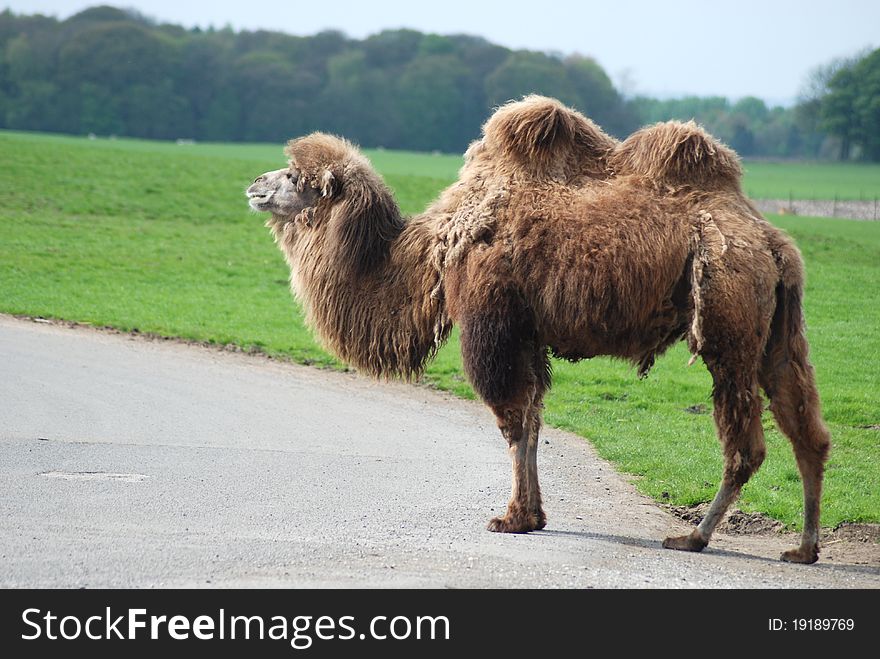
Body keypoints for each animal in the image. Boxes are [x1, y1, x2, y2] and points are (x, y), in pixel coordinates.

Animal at [248, 95, 832, 564]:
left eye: (295, 177)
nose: (254, 184)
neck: (433, 250)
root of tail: (772, 241)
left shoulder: (490, 323)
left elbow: (510, 419)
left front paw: (510, 517)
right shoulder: (525, 333)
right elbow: (531, 418)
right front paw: (532, 516)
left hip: (728, 321)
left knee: (746, 442)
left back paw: (694, 537)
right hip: (779, 331)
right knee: (806, 426)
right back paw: (802, 548)